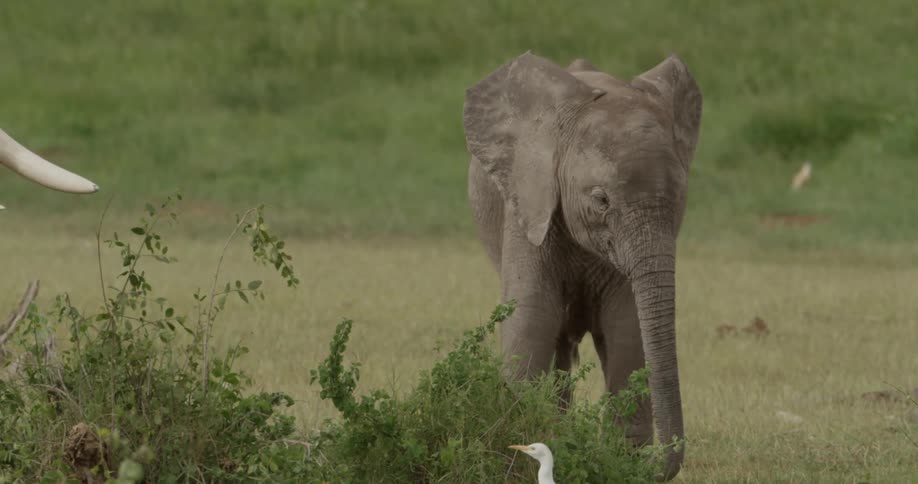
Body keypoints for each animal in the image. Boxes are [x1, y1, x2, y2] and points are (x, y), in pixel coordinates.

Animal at [462, 52, 701, 480]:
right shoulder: (529, 201)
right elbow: (531, 319)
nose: (654, 465)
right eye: (601, 200)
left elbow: (627, 329)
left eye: (679, 197)